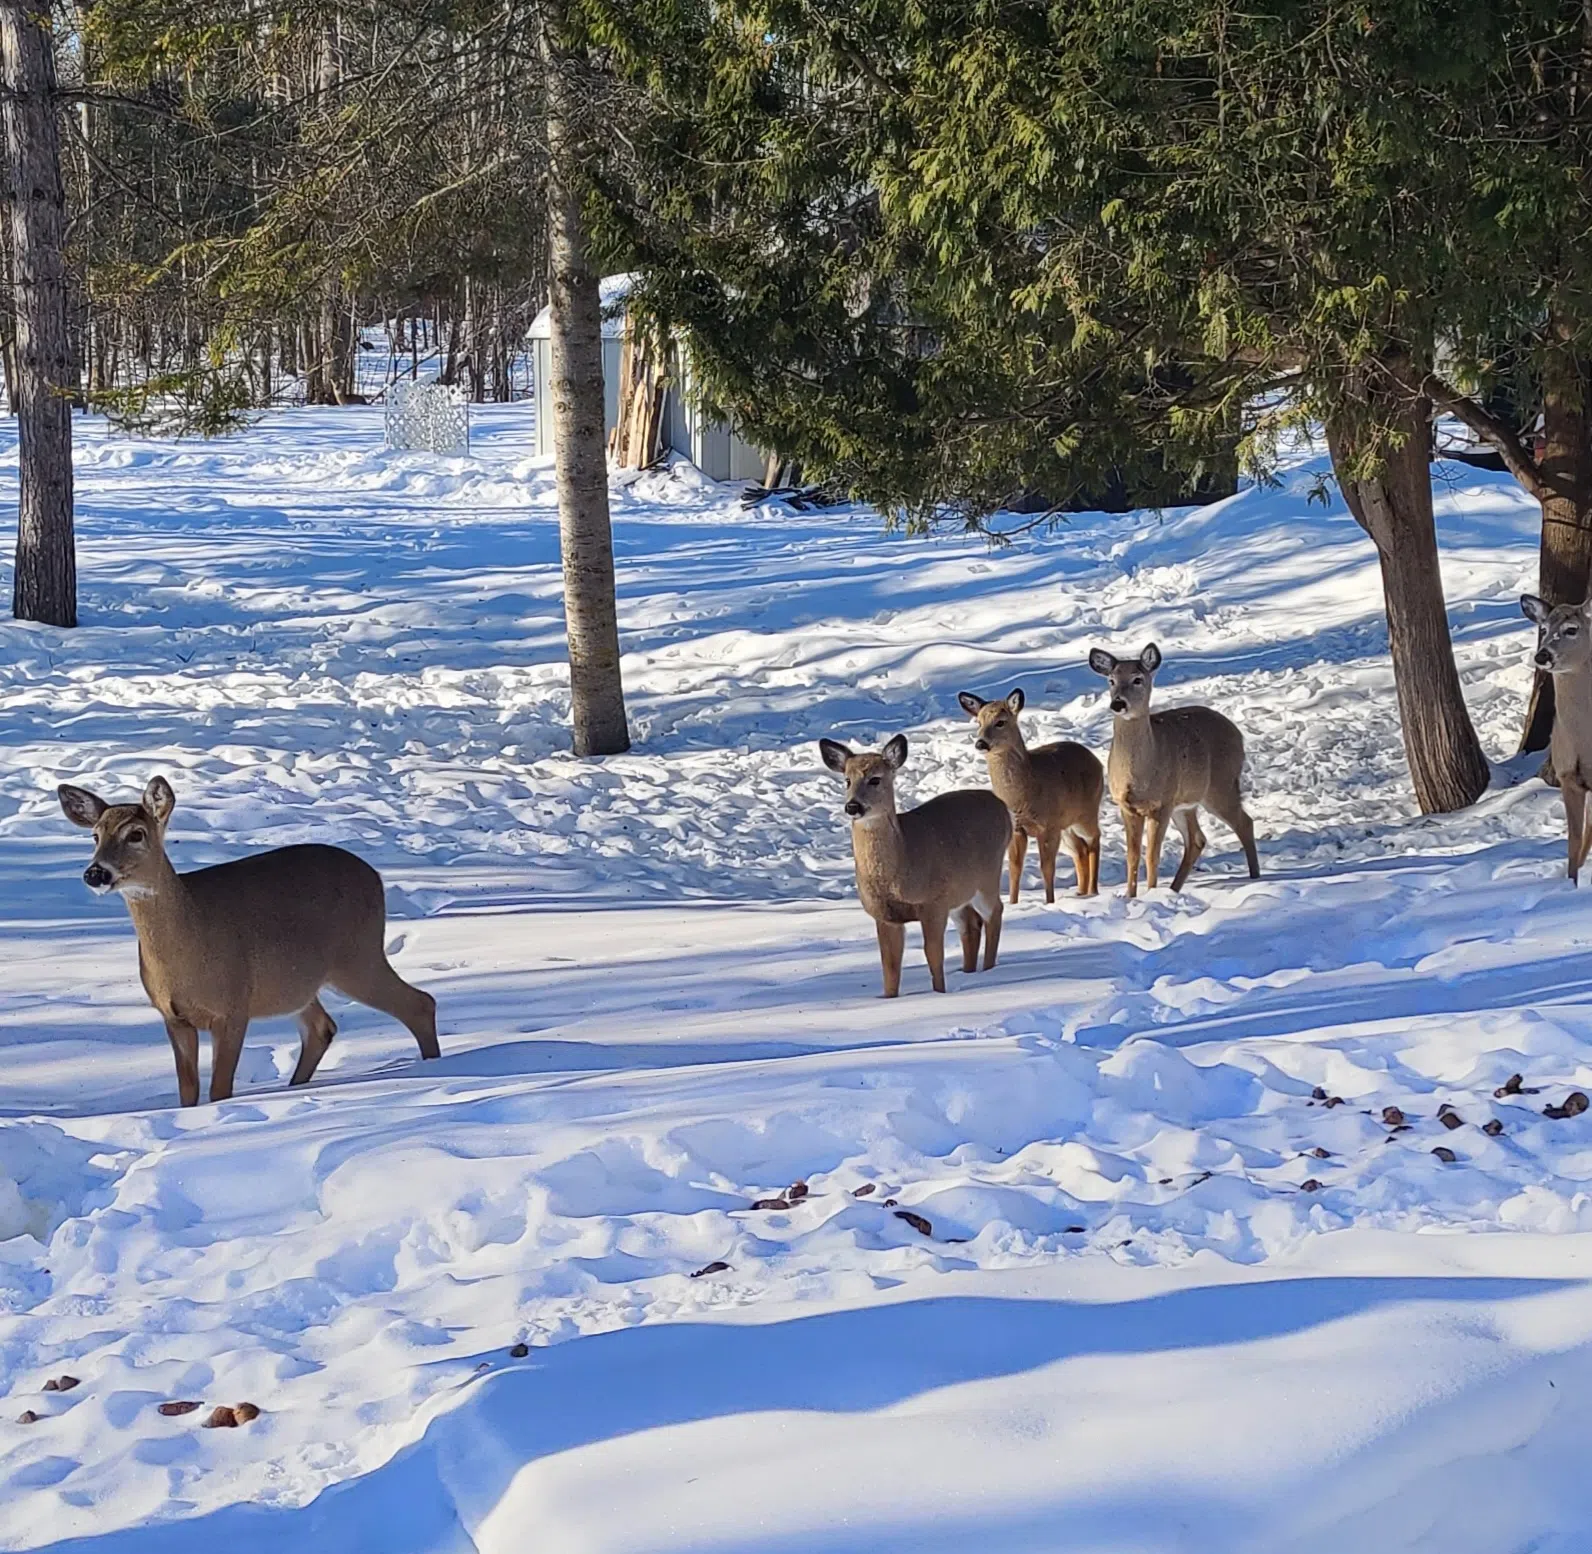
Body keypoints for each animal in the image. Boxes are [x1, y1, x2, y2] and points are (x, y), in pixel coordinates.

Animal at [56, 777, 439, 1101]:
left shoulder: (233, 1007)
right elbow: (188, 1093)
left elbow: (219, 1091)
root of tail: (375, 877)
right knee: (322, 1027)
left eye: (136, 834)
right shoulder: (173, 1016)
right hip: (298, 980)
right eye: (95, 836)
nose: (95, 873)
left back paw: (435, 1069)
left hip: (357, 955)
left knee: (420, 1003)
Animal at [821, 732, 1006, 993]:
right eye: (847, 780)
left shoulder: (932, 903)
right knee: (971, 924)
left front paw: (939, 993)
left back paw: (989, 969)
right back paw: (969, 971)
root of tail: (1003, 806)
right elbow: (890, 967)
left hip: (988, 876)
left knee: (994, 912)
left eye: (875, 779)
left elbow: (934, 956)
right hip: (959, 892)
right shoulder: (885, 915)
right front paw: (890, 997)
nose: (852, 806)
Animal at [948, 687, 1101, 898]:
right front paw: (1013, 902)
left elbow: (1047, 869)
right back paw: (1080, 893)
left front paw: (1050, 901)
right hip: (1066, 825)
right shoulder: (1018, 829)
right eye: (978, 722)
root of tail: (1096, 760)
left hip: (1086, 812)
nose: (980, 743)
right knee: (1080, 850)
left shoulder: (1048, 825)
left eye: (1000, 722)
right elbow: (1015, 868)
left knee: (1094, 839)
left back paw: (1093, 891)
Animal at [1088, 646, 1260, 898]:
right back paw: (1174, 888)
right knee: (1197, 839)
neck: (1138, 775)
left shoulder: (1161, 804)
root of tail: (1237, 733)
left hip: (1221, 785)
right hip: (1186, 802)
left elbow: (1152, 856)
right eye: (1111, 680)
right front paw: (1131, 896)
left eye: (1137, 679)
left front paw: (1150, 893)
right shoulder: (1126, 805)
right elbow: (1132, 856)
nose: (1118, 704)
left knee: (1244, 823)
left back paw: (1256, 877)